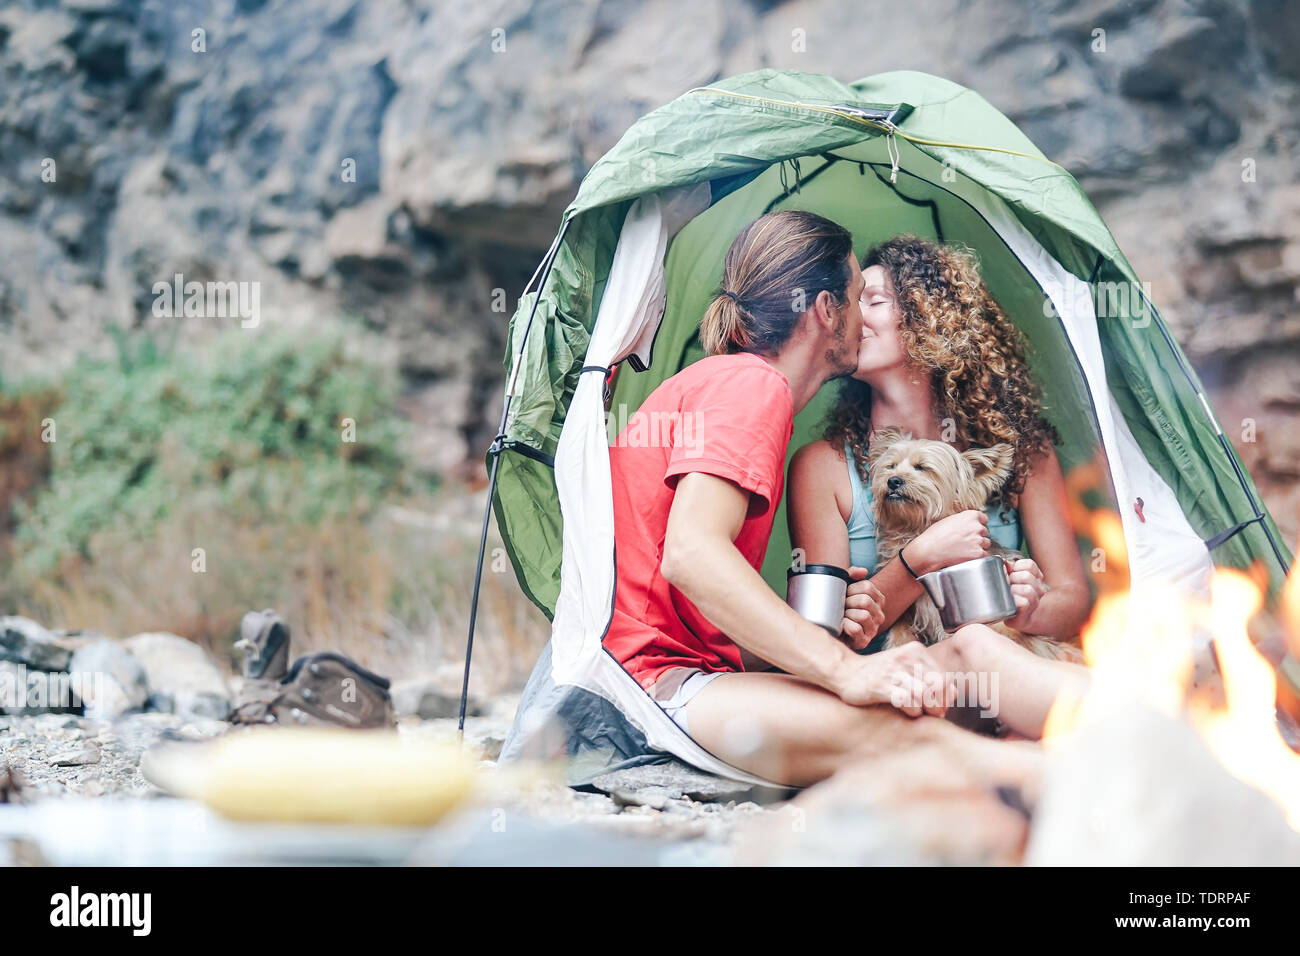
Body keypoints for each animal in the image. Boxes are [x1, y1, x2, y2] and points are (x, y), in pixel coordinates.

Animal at [868, 429, 1081, 660]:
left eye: (921, 467)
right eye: (891, 466)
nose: (893, 481)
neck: (913, 530)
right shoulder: (907, 612)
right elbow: (898, 632)